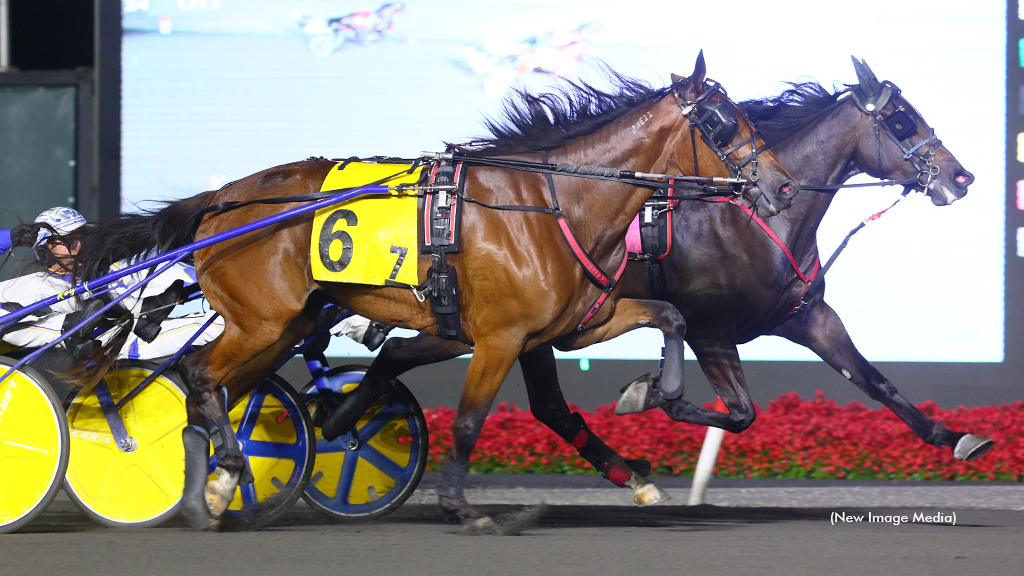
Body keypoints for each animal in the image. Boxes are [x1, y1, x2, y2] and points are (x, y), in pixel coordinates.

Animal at [72, 53, 798, 528]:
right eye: (724, 122)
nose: (783, 185)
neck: (551, 203)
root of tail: (220, 200)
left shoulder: (561, 327)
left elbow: (662, 322)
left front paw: (654, 406)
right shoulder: (499, 336)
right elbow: (473, 417)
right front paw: (459, 504)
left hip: (279, 327)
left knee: (218, 389)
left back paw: (218, 485)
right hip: (261, 322)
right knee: (198, 375)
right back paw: (220, 469)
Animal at [606, 57, 991, 461]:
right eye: (902, 120)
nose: (962, 177)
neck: (752, 221)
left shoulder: (809, 318)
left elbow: (876, 382)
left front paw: (953, 436)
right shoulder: (708, 329)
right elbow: (741, 414)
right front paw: (648, 394)